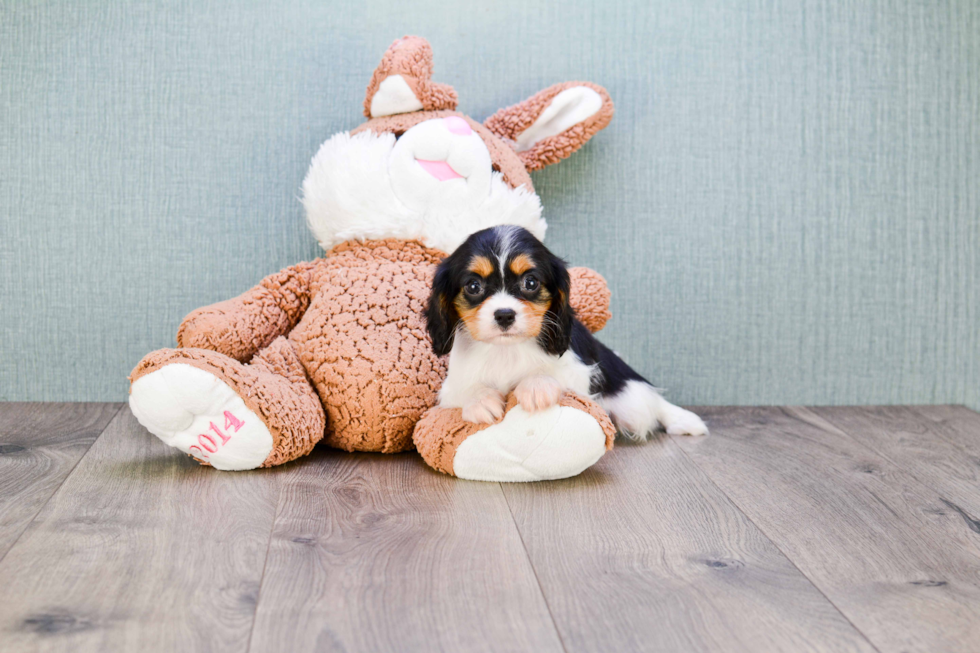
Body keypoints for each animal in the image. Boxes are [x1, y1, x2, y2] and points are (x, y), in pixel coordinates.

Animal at [424, 224, 708, 438]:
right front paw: (480, 400)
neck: (507, 349)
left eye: (530, 282)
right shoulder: (451, 387)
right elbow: (465, 389)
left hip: (629, 399)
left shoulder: (579, 371)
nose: (504, 314)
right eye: (473, 286)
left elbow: (553, 374)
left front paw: (535, 386)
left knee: (653, 403)